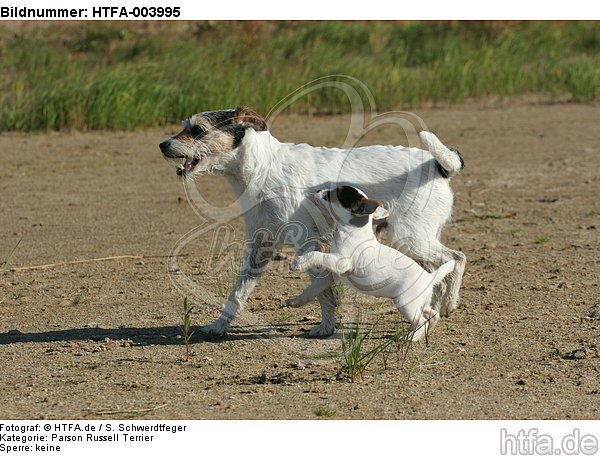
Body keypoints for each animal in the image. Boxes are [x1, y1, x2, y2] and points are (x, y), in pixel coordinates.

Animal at [290, 184, 454, 338]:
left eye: (333, 193)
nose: (317, 191)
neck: (352, 231)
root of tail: (429, 277)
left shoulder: (341, 263)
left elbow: (316, 254)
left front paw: (298, 263)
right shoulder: (332, 274)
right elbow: (313, 289)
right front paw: (296, 301)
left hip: (405, 303)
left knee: (421, 321)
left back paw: (410, 337)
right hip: (420, 303)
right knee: (432, 315)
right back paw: (426, 331)